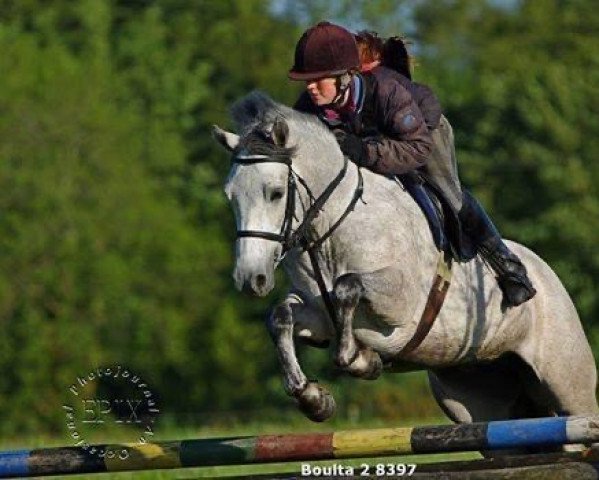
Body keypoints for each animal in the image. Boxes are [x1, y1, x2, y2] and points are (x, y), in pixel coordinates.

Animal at [213, 90, 596, 428]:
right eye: (230, 196)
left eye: (276, 193)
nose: (250, 279)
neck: (333, 227)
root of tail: (551, 278)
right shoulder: (317, 314)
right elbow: (280, 316)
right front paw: (313, 399)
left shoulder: (398, 303)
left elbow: (347, 287)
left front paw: (361, 360)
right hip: (474, 399)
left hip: (568, 385)